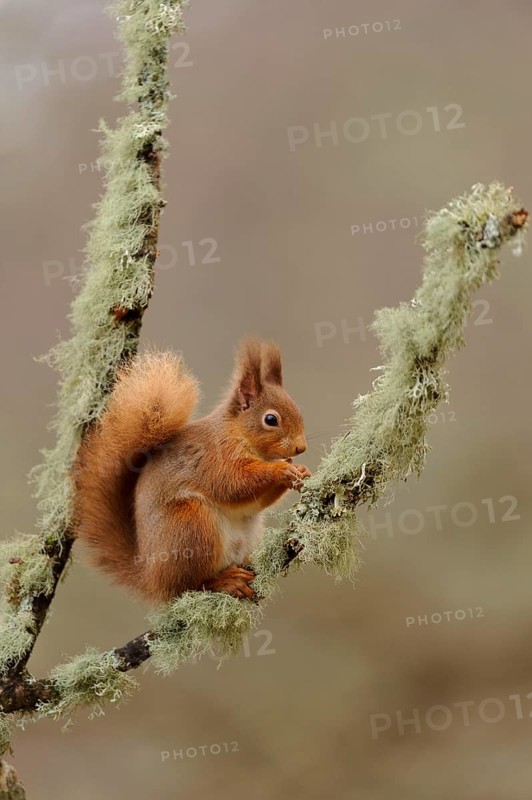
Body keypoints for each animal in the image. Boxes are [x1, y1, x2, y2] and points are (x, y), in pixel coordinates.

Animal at [73, 337, 311, 603]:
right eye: (271, 420)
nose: (301, 447)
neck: (237, 432)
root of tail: (152, 578)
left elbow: (255, 501)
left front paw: (300, 471)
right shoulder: (214, 459)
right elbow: (234, 484)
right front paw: (281, 470)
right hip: (192, 526)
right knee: (191, 585)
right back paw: (226, 581)